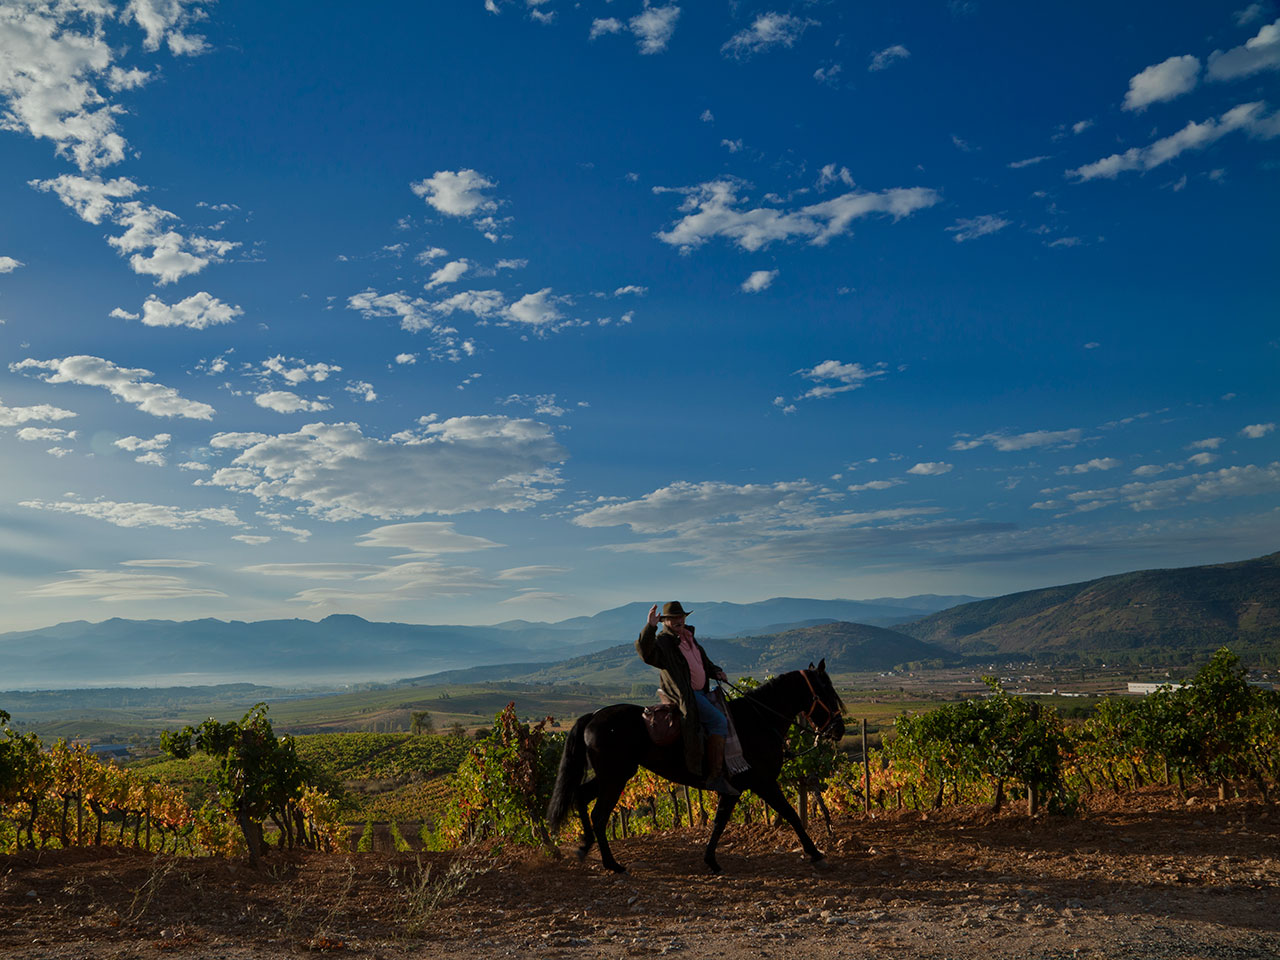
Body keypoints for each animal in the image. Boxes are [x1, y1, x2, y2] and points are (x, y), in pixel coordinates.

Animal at [545, 660, 844, 880]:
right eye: (827, 692)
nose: (838, 730)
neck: (758, 721)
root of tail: (594, 716)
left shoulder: (734, 789)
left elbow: (720, 821)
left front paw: (711, 860)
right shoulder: (763, 782)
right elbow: (791, 814)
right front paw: (816, 855)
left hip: (611, 776)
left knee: (581, 797)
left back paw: (584, 847)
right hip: (616, 777)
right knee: (598, 814)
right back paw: (612, 864)